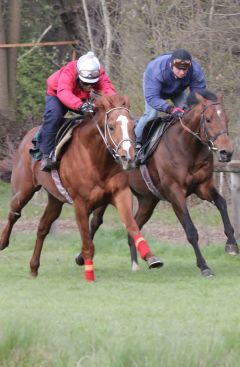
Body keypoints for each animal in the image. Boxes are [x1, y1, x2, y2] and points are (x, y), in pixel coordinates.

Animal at [0, 94, 163, 282]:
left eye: (132, 126)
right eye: (111, 127)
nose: (128, 158)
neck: (96, 159)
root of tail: (28, 136)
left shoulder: (120, 194)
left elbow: (132, 225)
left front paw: (150, 257)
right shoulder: (80, 203)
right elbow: (87, 243)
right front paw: (89, 274)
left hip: (55, 199)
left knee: (42, 227)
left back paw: (34, 267)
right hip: (24, 189)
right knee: (14, 212)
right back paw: (3, 242)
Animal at [81, 90, 239, 278]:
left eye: (227, 118)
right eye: (208, 119)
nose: (226, 152)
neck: (187, 147)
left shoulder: (203, 186)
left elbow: (221, 203)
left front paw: (231, 244)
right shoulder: (175, 192)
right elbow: (191, 230)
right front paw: (204, 266)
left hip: (147, 201)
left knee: (133, 226)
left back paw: (139, 263)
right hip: (106, 193)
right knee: (95, 221)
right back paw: (81, 257)